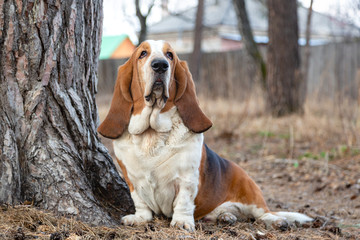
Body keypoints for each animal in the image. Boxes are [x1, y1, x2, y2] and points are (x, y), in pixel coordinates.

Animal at [97, 40, 312, 232]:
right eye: (142, 53)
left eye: (170, 55)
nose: (160, 65)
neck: (152, 134)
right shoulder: (132, 179)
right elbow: (140, 202)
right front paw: (139, 218)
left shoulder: (186, 178)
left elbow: (183, 201)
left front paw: (182, 222)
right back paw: (226, 216)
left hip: (252, 194)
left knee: (264, 213)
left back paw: (277, 221)